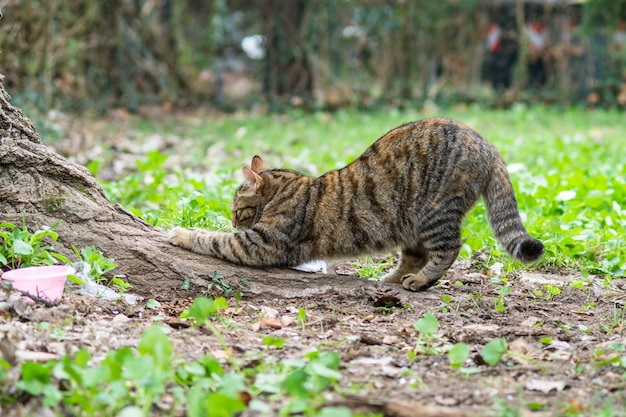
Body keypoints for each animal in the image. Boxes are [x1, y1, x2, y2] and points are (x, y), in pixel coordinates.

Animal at [167, 115, 540, 290]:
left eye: (236, 211)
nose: (233, 220)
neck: (285, 188)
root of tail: (486, 143)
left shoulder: (259, 243)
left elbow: (213, 239)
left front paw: (181, 234)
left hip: (435, 211)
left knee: (449, 248)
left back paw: (420, 280)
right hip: (409, 221)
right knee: (415, 254)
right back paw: (393, 279)